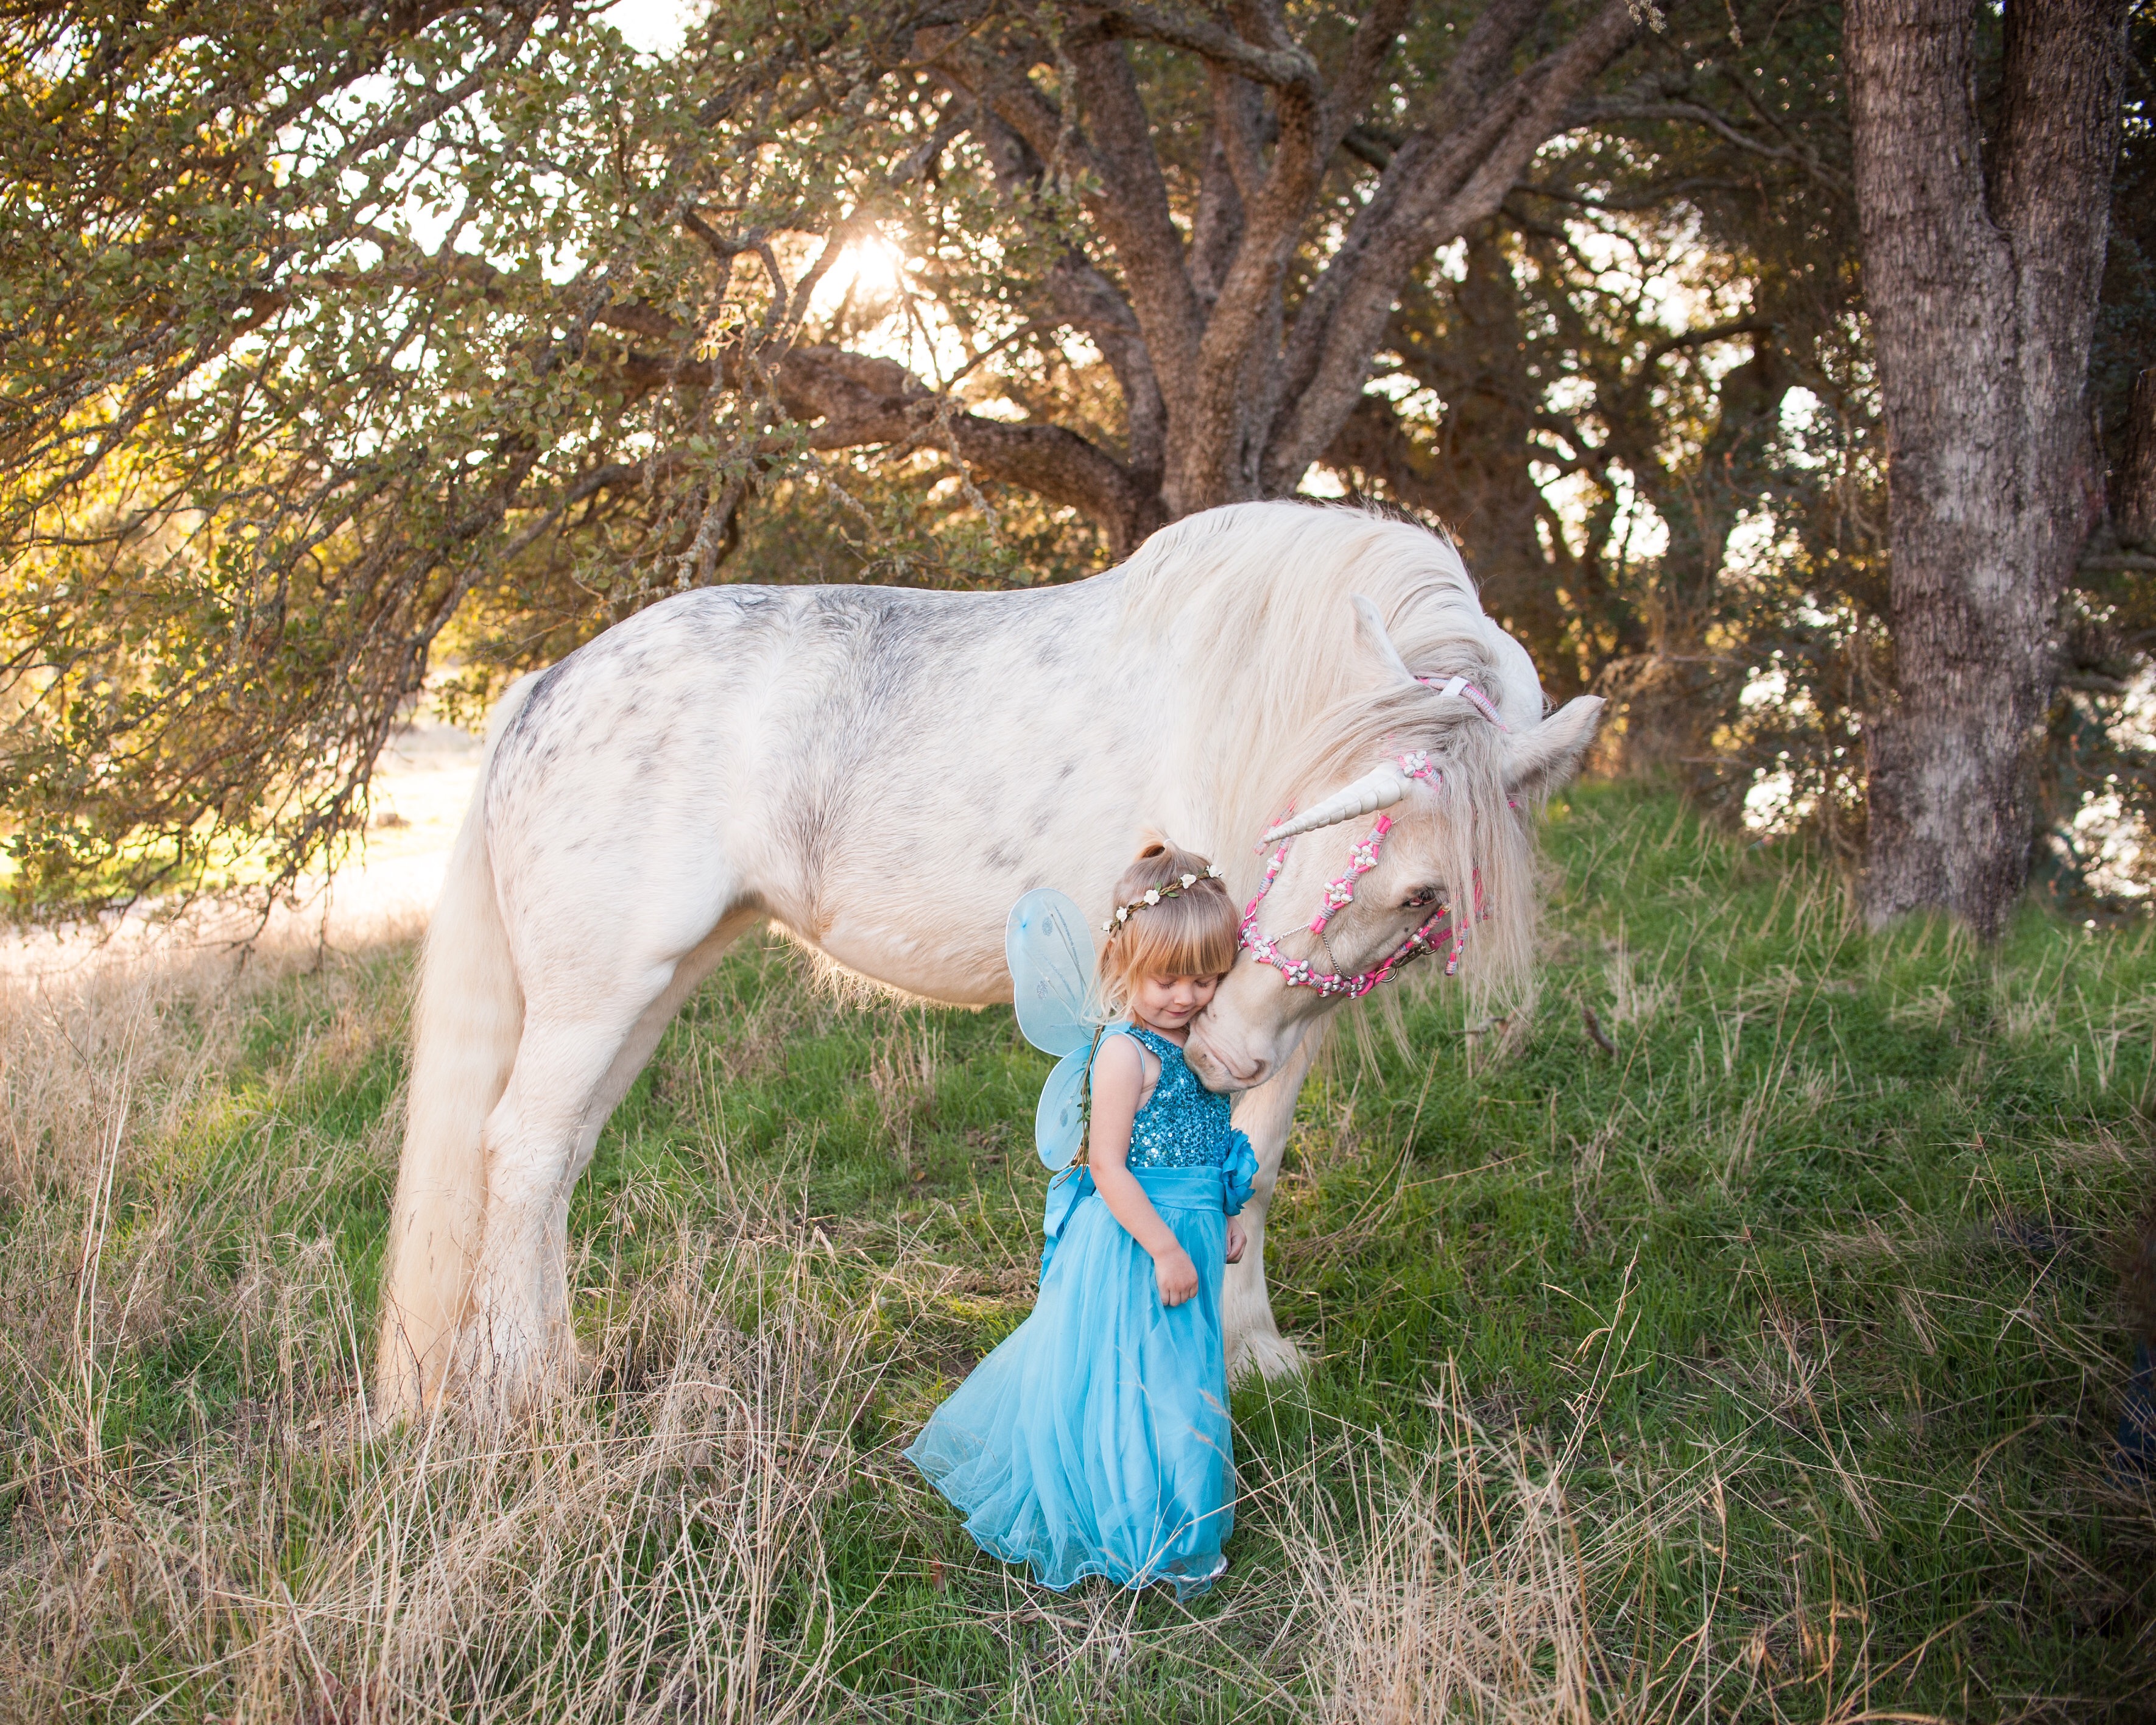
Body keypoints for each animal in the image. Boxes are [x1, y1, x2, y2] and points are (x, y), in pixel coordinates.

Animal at [379, 496, 1604, 1414]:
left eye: (1425, 893)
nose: (1224, 1041)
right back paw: (526, 1389)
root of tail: (544, 687)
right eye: (1296, 822)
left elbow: (1252, 1169)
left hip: (643, 992)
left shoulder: (1289, 1022)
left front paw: (1251, 1350)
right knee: (526, 1152)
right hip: (599, 994)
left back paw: (547, 1365)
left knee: (555, 1160)